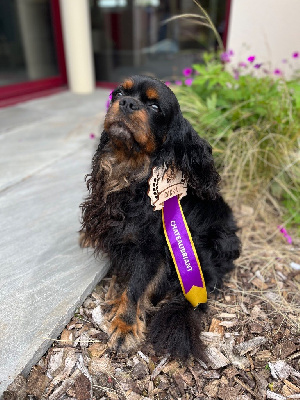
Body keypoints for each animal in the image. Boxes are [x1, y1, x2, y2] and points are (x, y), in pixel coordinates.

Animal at [80, 75, 241, 360]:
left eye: (155, 107)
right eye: (118, 93)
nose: (127, 103)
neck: (133, 173)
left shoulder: (151, 248)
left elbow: (136, 286)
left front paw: (125, 326)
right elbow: (126, 277)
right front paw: (117, 302)